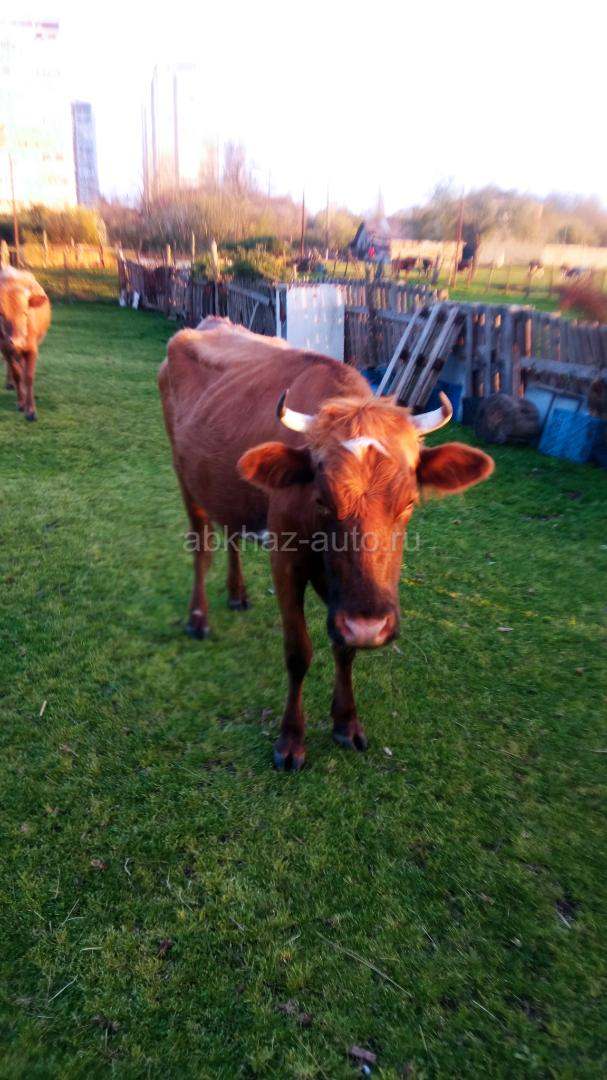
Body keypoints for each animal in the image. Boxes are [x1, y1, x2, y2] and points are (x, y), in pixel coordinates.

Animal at [0, 267, 51, 421]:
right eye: (1, 314)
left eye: (25, 313)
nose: (16, 341)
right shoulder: (5, 348)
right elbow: (17, 374)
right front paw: (21, 403)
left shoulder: (32, 349)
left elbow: (29, 376)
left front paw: (31, 410)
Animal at [159, 318, 494, 770]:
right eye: (322, 499)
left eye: (409, 503)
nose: (369, 626)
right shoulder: (285, 563)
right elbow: (298, 650)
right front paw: (290, 740)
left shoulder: (345, 599)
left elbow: (345, 648)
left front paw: (346, 723)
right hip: (184, 474)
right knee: (201, 547)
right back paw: (198, 618)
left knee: (231, 532)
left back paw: (238, 594)